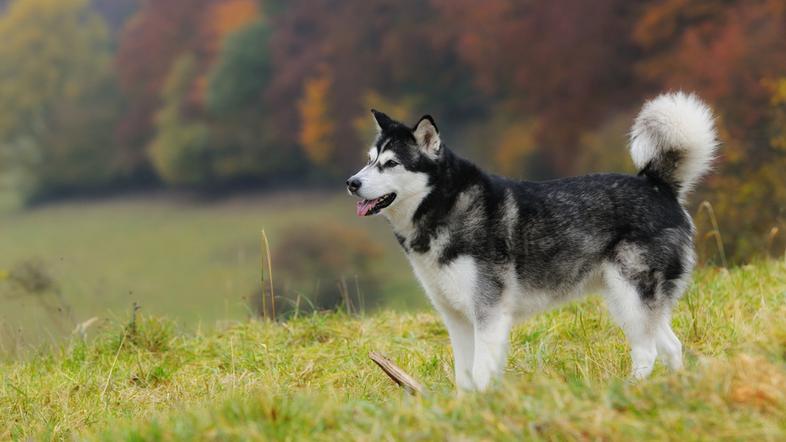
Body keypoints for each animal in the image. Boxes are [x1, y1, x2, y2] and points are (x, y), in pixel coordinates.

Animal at [346, 93, 712, 390]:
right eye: (369, 159)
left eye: (391, 163)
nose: (351, 182)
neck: (444, 205)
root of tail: (656, 184)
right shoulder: (456, 317)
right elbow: (465, 375)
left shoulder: (489, 313)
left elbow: (481, 372)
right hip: (630, 301)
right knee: (671, 346)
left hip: (631, 295)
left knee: (647, 351)